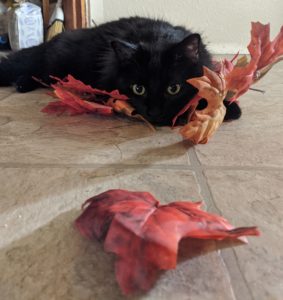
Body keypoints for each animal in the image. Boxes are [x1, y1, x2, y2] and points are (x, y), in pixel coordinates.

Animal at [0, 16, 242, 124]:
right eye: (138, 89)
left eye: (173, 89)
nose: (154, 113)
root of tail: (52, 40)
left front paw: (229, 107)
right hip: (54, 66)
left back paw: (21, 84)